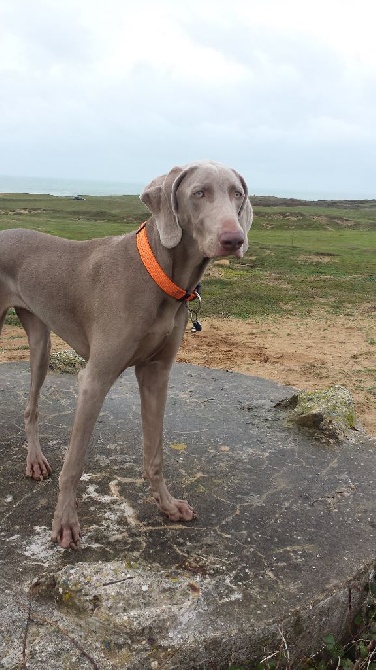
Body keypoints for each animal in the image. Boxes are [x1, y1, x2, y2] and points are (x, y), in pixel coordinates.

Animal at [0, 160, 253, 548]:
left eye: (237, 193)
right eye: (199, 192)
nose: (234, 240)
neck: (160, 274)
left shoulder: (156, 373)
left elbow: (155, 453)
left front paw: (168, 505)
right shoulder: (94, 379)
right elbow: (74, 463)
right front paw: (64, 522)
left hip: (40, 340)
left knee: (31, 405)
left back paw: (35, 461)